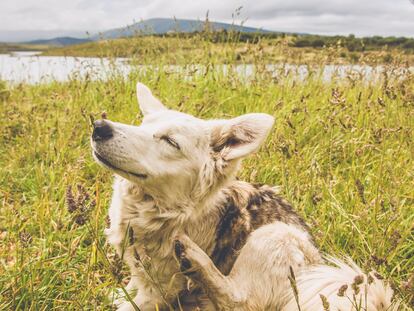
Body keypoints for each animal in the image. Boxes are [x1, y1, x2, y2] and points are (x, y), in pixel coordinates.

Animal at [91, 83, 398, 311]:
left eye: (170, 141)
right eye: (141, 125)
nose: (99, 126)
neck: (162, 211)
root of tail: (317, 267)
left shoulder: (160, 289)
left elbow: (138, 302)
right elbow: (132, 285)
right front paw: (121, 292)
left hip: (274, 235)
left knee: (238, 301)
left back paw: (195, 260)